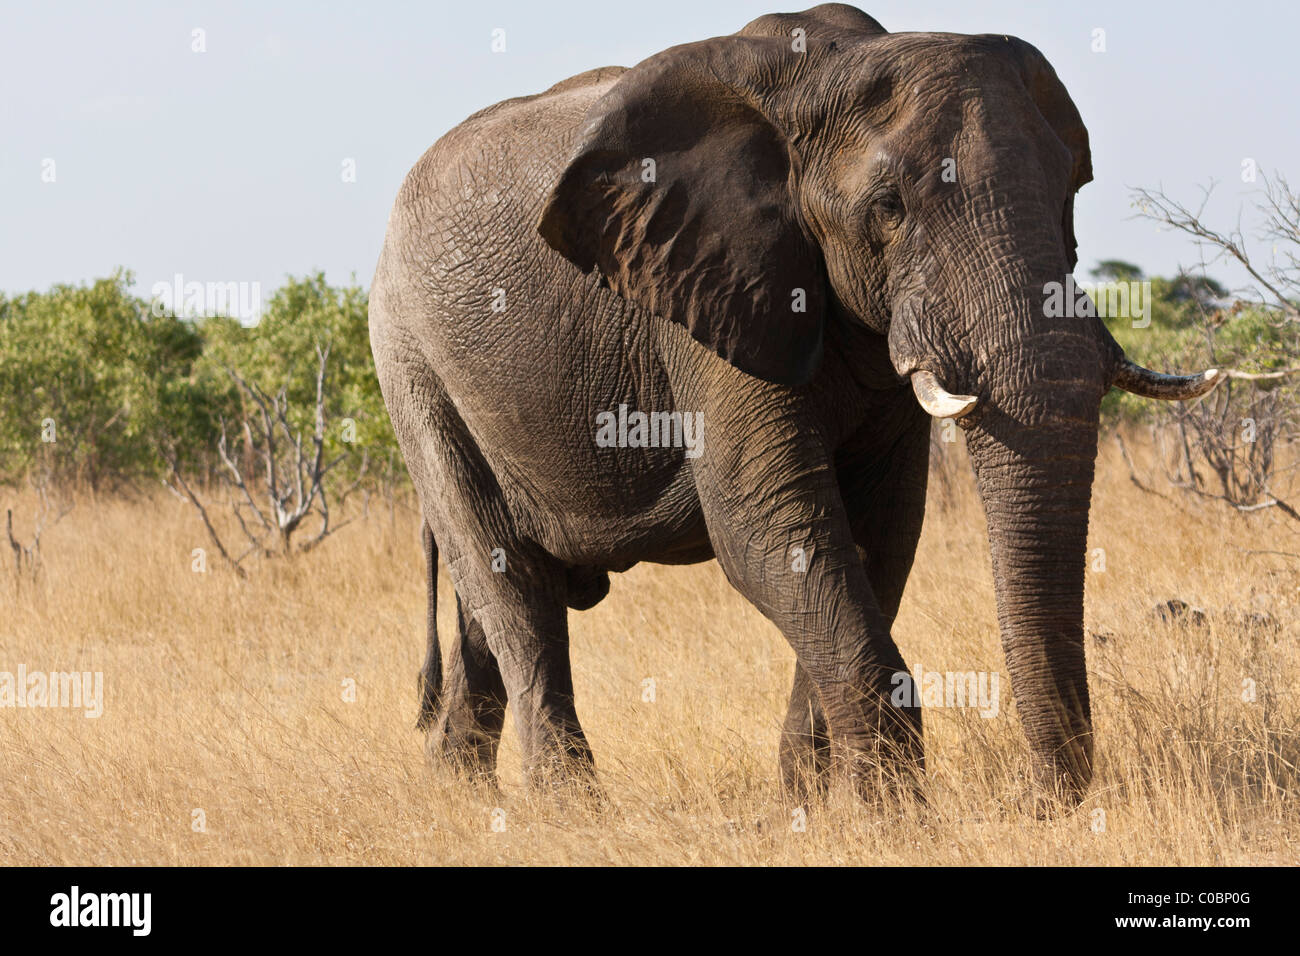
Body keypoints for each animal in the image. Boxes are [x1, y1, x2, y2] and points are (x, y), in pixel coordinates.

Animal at [371, 3, 1222, 806]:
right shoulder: (705, 288)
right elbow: (769, 525)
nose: (1036, 800)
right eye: (888, 208)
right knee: (509, 582)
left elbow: (879, 531)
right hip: (413, 366)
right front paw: (891, 817)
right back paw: (570, 811)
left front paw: (816, 802)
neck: (823, 74)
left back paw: (457, 791)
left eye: (1071, 193)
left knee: (488, 606)